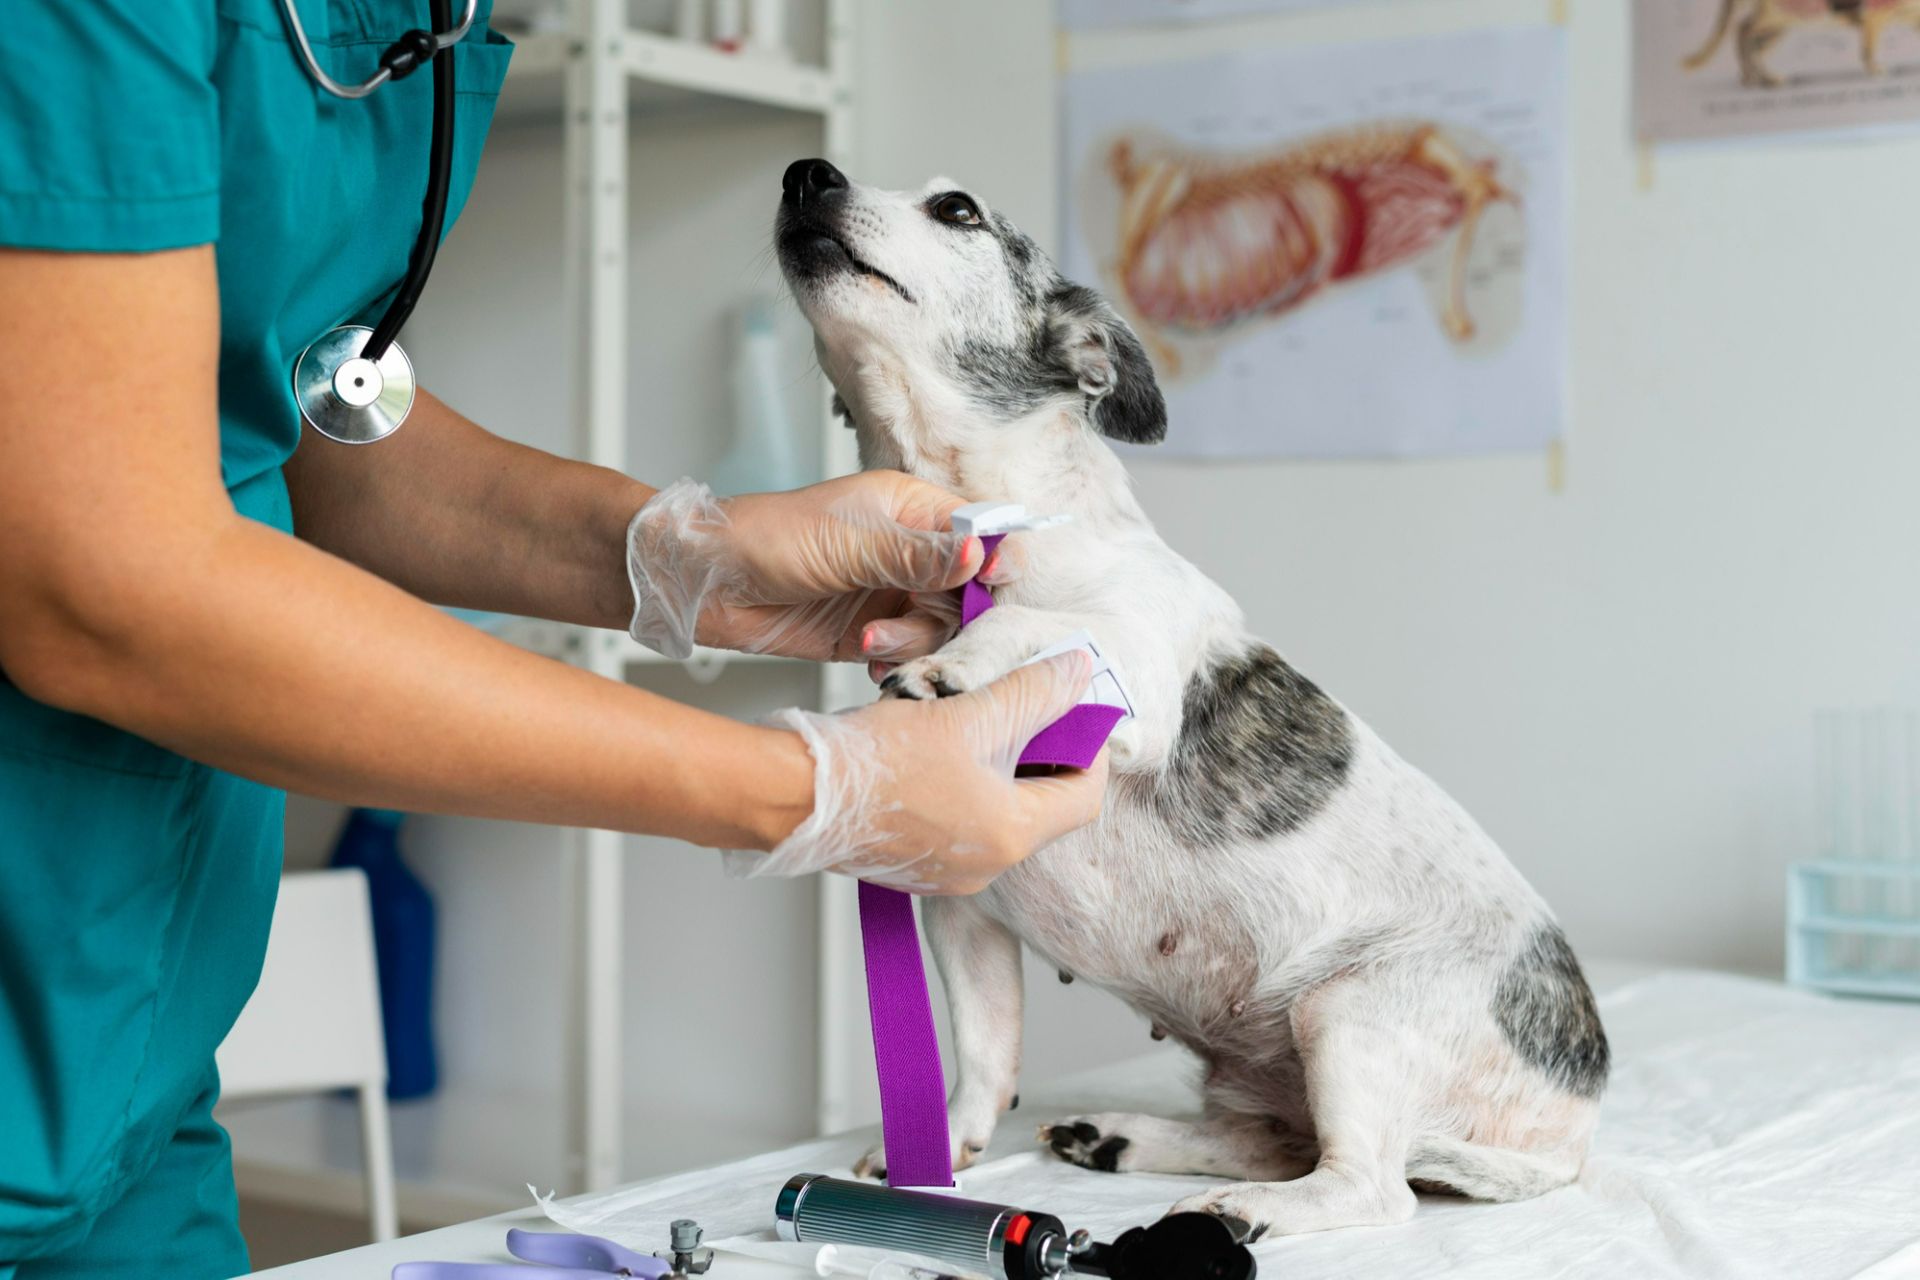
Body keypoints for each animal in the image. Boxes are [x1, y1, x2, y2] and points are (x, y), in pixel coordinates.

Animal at [771, 157, 1612, 1243]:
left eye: (956, 209)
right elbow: (984, 1056)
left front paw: (960, 661)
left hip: (1352, 1012)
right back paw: (1123, 1137)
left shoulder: (1133, 668)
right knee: (1281, 1140)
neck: (980, 533)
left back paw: (1242, 1208)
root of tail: (1572, 1127)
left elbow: (1043, 627)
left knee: (1369, 1186)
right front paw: (945, 1150)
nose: (806, 172)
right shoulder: (965, 907)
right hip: (1276, 1067)